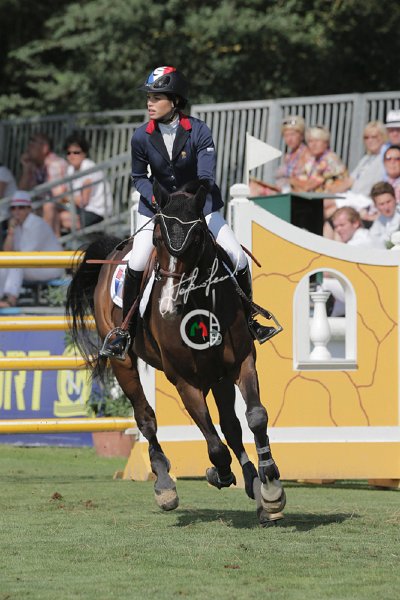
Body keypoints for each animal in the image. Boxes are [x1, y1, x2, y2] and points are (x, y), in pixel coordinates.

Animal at [66, 179, 286, 526]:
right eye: (157, 239)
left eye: (196, 239)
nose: (168, 306)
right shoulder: (185, 381)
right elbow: (214, 445)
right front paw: (218, 474)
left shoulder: (240, 364)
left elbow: (254, 417)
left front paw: (271, 486)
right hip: (124, 365)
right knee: (146, 419)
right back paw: (165, 484)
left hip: (218, 377)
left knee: (231, 427)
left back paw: (253, 483)